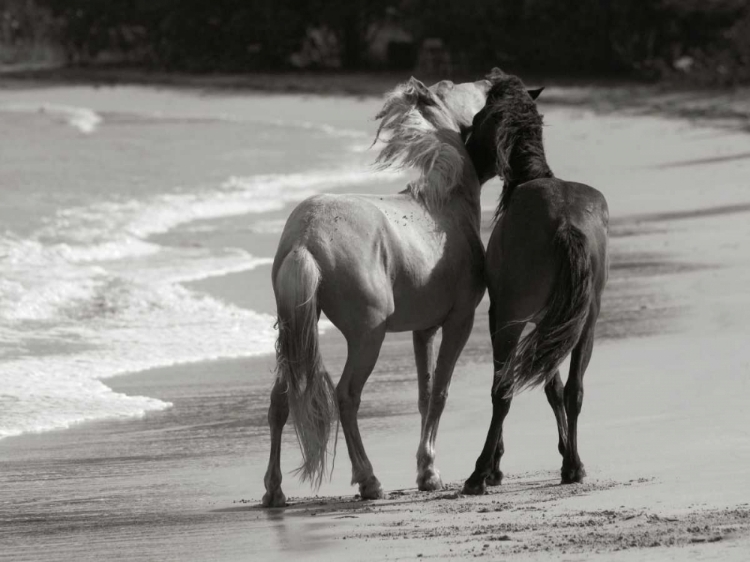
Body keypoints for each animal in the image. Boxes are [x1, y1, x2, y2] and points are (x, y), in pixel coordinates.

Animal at [264, 74, 494, 504]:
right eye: (463, 88)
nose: (493, 76)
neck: (443, 206)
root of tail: (306, 236)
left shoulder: (424, 329)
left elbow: (424, 395)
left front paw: (425, 470)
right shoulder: (459, 321)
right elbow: (440, 392)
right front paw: (429, 474)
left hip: (295, 334)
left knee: (280, 401)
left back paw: (274, 491)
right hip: (368, 337)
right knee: (346, 396)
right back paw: (369, 480)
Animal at [464, 68, 612, 492]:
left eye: (479, 116)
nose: (466, 149)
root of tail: (565, 222)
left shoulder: (503, 314)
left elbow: (514, 386)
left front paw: (494, 466)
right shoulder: (552, 323)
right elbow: (555, 387)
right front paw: (566, 455)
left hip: (510, 321)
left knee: (502, 390)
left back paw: (479, 473)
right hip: (585, 324)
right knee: (576, 389)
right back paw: (574, 467)